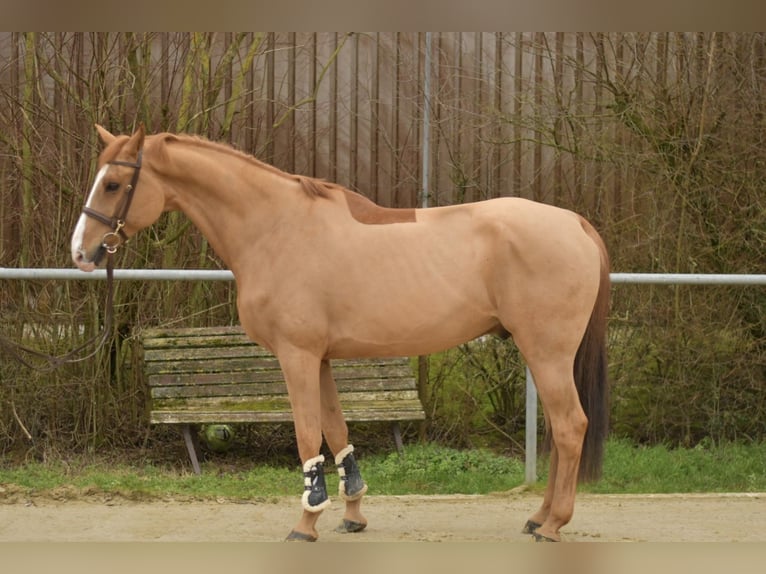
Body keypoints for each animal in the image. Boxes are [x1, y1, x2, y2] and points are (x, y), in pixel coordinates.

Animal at [70, 124, 610, 542]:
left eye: (114, 183)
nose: (80, 252)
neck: (276, 228)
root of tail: (576, 223)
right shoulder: (323, 358)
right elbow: (337, 431)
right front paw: (352, 514)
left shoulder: (297, 356)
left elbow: (309, 434)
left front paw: (306, 522)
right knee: (559, 431)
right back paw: (538, 516)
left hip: (547, 352)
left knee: (570, 426)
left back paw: (553, 525)